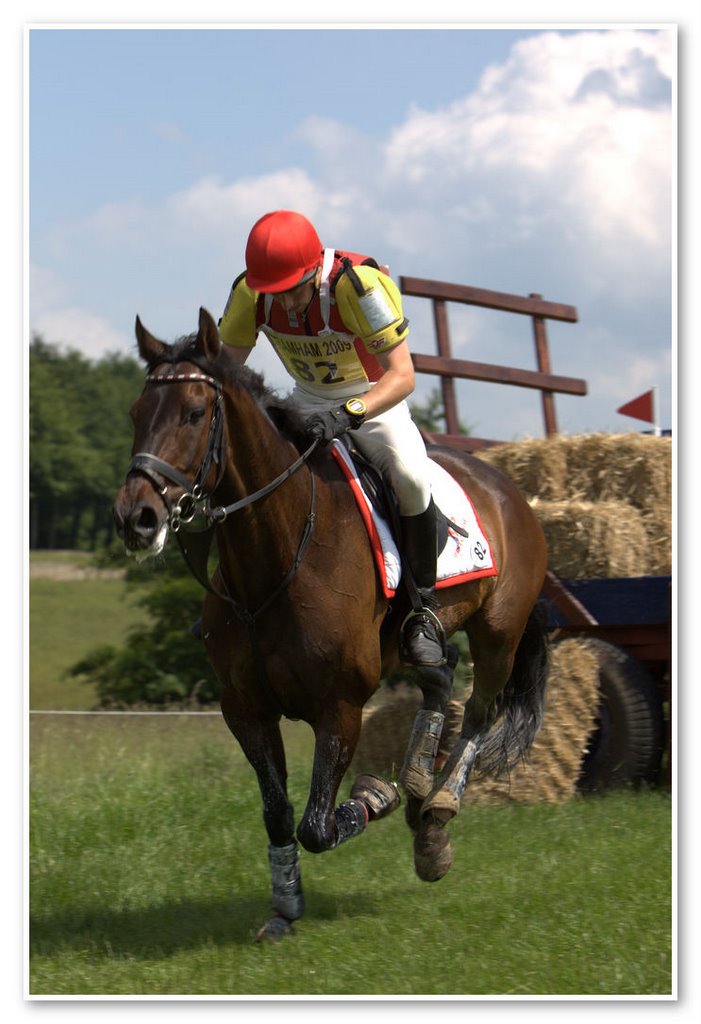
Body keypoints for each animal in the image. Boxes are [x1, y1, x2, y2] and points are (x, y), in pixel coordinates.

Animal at [112, 307, 548, 937]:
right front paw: (284, 909)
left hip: (499, 634)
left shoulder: (339, 706)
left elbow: (317, 825)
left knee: (479, 712)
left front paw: (376, 795)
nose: (136, 519)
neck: (274, 563)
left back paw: (436, 811)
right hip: (432, 637)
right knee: (439, 678)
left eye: (194, 413)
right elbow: (278, 814)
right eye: (136, 414)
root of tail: (508, 486)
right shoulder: (245, 709)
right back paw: (421, 791)